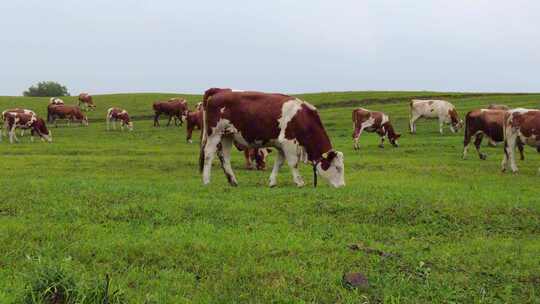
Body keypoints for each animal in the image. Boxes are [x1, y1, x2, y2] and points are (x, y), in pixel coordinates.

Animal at [199, 88, 346, 188]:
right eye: (338, 168)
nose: (342, 186)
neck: (302, 118)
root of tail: (219, 91)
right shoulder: (288, 142)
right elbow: (293, 163)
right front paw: (299, 182)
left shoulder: (281, 145)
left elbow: (279, 163)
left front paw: (272, 182)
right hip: (214, 134)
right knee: (208, 154)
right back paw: (206, 181)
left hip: (227, 135)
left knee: (225, 157)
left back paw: (233, 181)